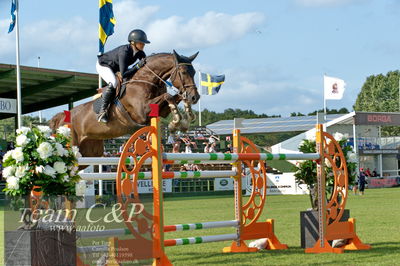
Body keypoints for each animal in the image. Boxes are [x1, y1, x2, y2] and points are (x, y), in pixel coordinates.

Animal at [50, 50, 200, 157]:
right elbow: (168, 96)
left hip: (90, 151)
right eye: (183, 72)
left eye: (194, 72)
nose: (195, 97)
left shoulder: (160, 111)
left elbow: (174, 97)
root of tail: (62, 117)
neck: (145, 80)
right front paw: (176, 122)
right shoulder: (141, 112)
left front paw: (187, 115)